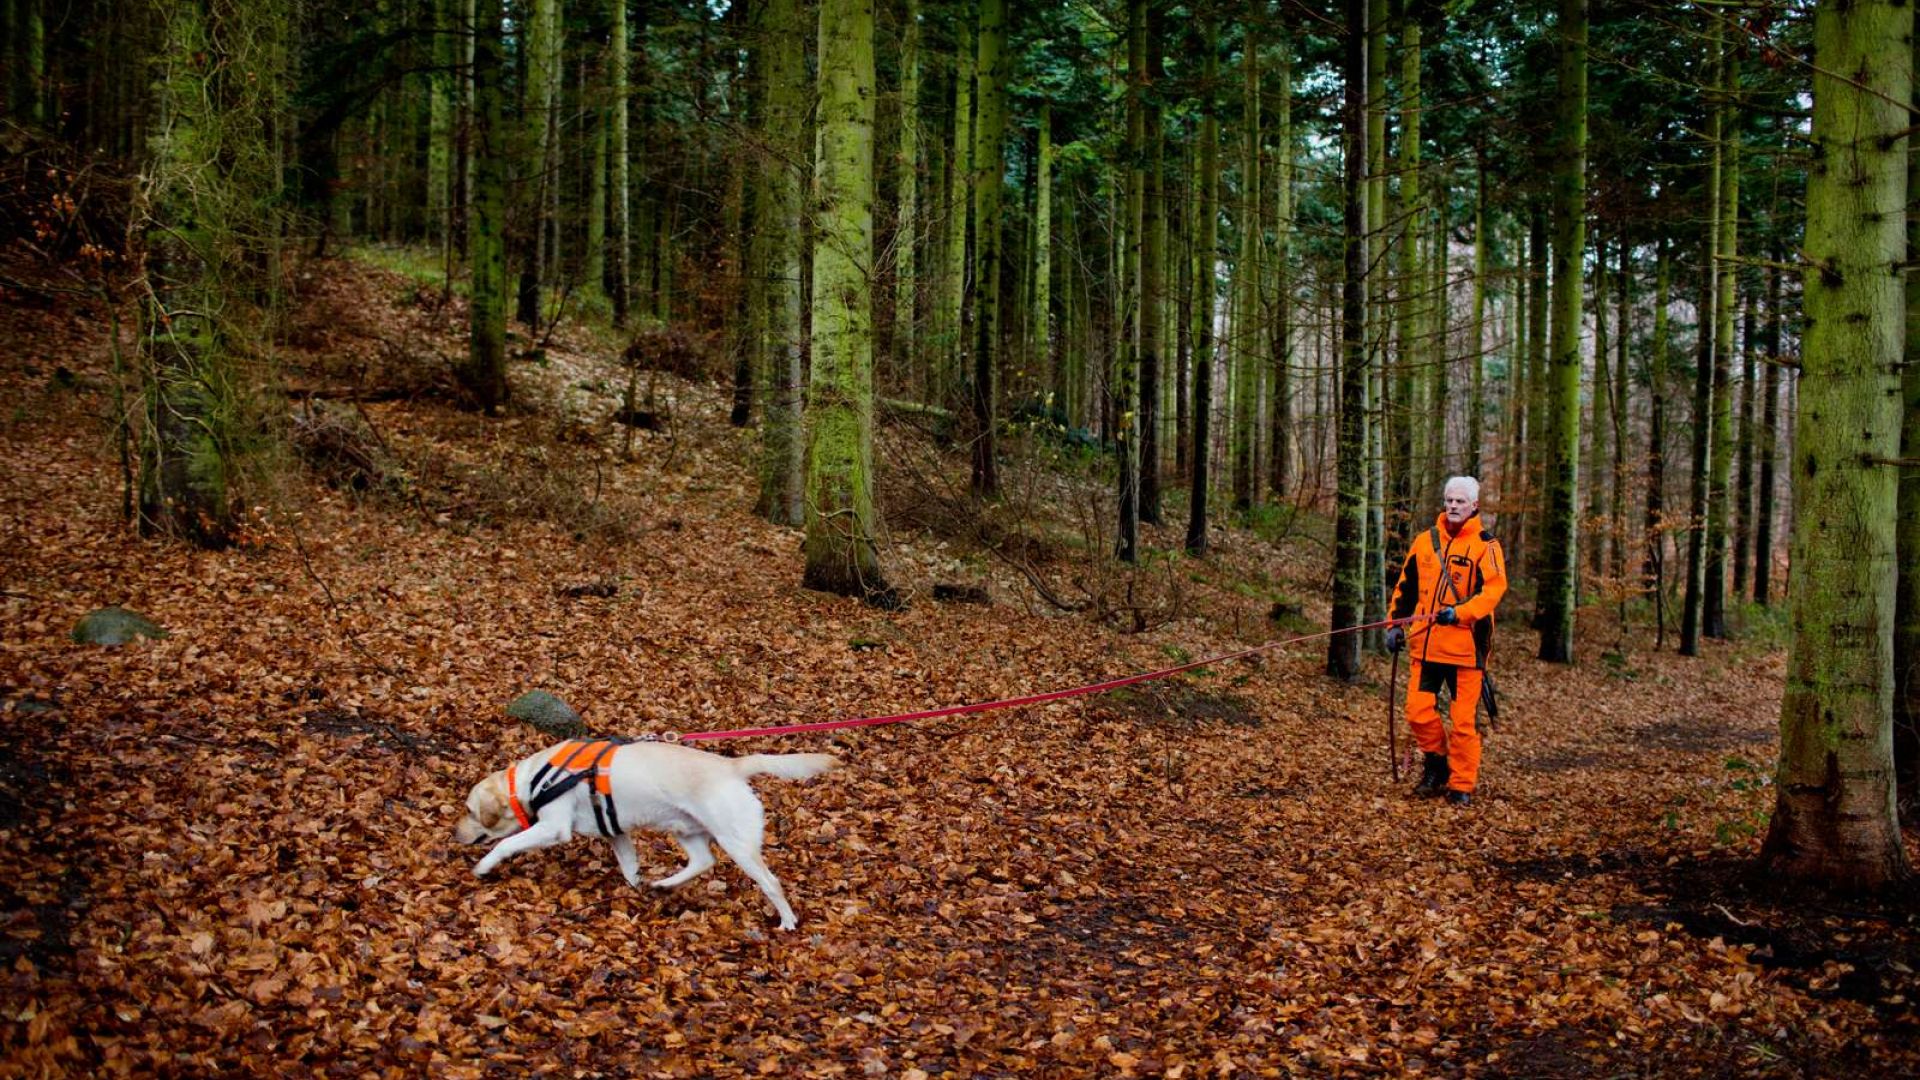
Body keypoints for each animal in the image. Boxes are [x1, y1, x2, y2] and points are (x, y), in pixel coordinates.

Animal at [456, 734, 840, 930]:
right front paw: (635, 888)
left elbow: (506, 844)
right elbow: (629, 866)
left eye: (469, 811)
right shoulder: (615, 833)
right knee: (703, 862)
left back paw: (787, 921)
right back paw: (663, 885)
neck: (534, 780)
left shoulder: (553, 827)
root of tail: (731, 765)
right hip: (686, 830)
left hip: (737, 844)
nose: (455, 834)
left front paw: (483, 866)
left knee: (771, 882)